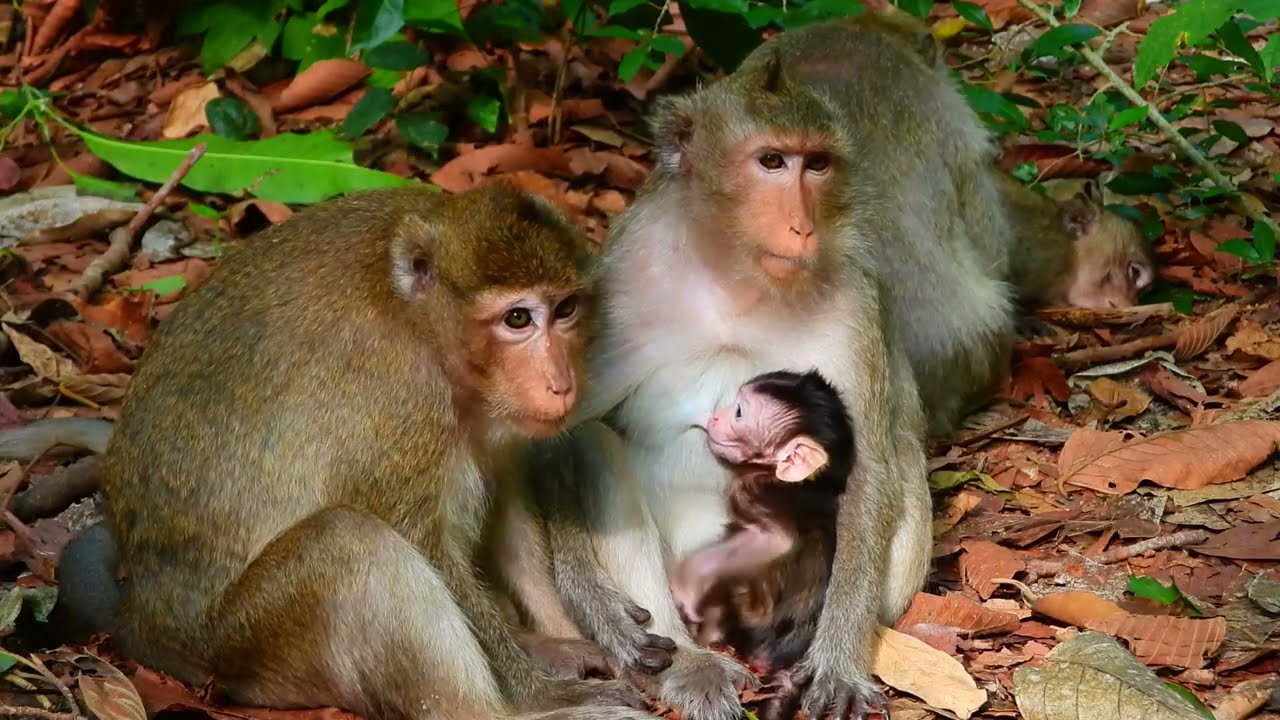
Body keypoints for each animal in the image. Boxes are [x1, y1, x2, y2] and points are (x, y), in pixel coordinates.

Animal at [17, 183, 659, 720]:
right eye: (518, 318)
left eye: (566, 309)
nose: (561, 383)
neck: (422, 321)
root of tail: (146, 622)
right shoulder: (398, 401)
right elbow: (423, 542)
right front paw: (543, 693)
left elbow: (507, 495)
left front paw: (578, 629)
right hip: (249, 648)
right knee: (347, 542)